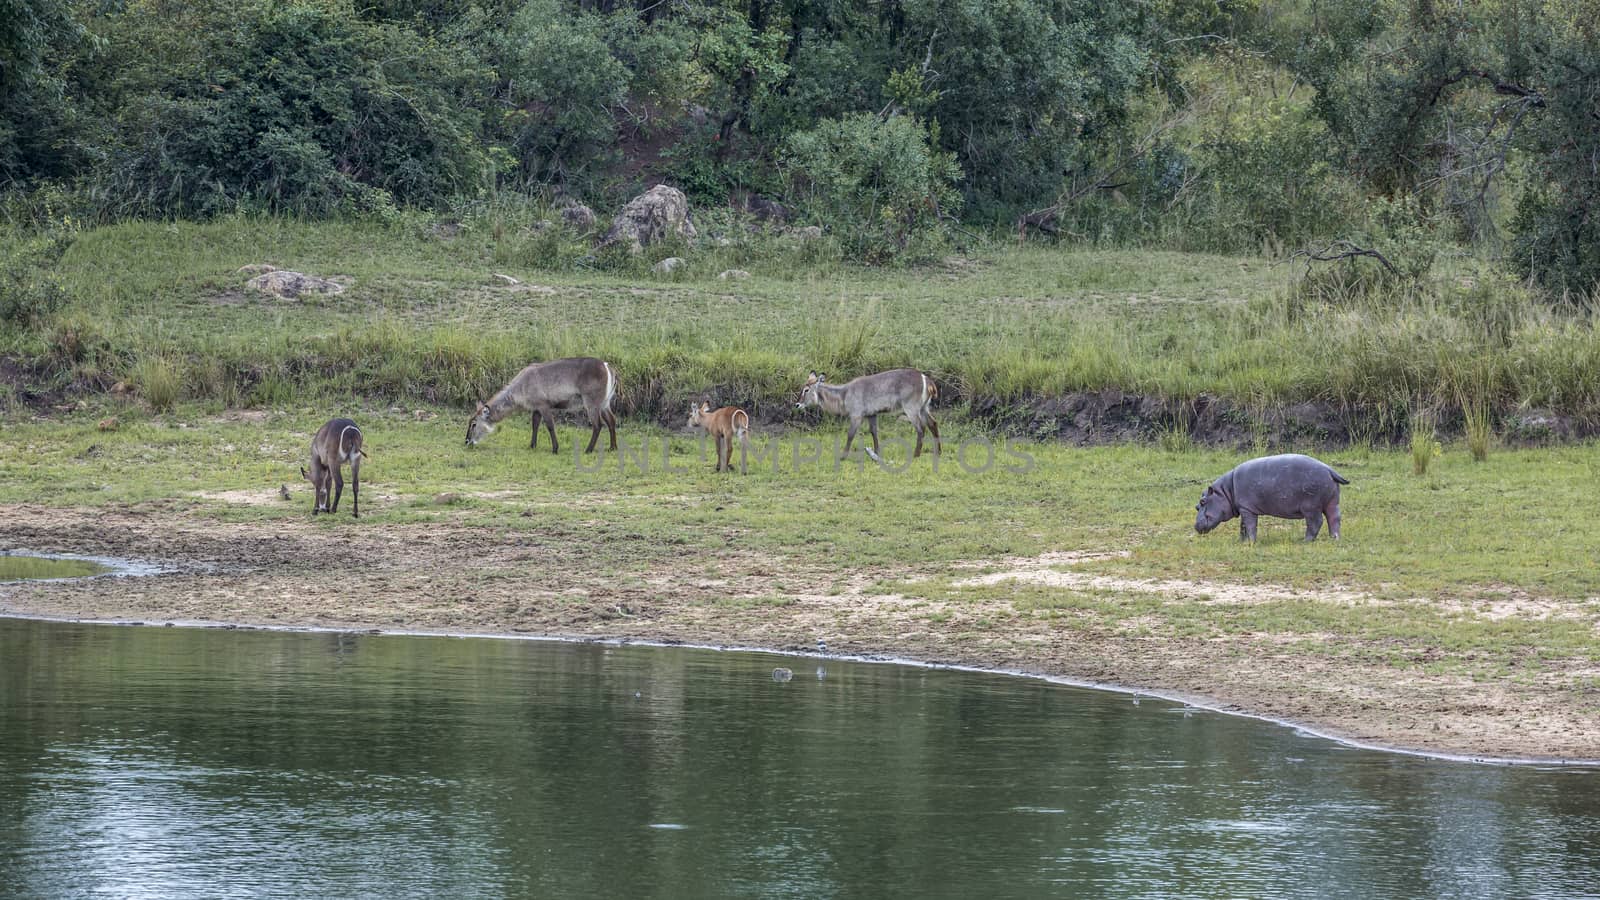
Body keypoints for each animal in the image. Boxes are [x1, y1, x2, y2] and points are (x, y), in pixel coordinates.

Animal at [464, 353, 617, 451]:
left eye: (473, 424)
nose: (467, 442)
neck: (520, 387)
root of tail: (607, 366)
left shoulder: (543, 405)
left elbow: (550, 425)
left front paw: (555, 448)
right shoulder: (536, 407)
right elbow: (535, 425)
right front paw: (532, 446)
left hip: (591, 402)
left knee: (598, 425)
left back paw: (588, 449)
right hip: (605, 402)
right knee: (611, 420)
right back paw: (612, 447)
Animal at [796, 368, 934, 458]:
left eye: (806, 390)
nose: (797, 405)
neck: (844, 394)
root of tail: (925, 378)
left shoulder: (856, 415)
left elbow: (850, 434)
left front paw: (843, 456)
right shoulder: (872, 414)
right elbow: (874, 432)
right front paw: (877, 453)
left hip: (911, 409)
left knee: (921, 429)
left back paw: (916, 455)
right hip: (924, 408)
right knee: (933, 424)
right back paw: (937, 451)